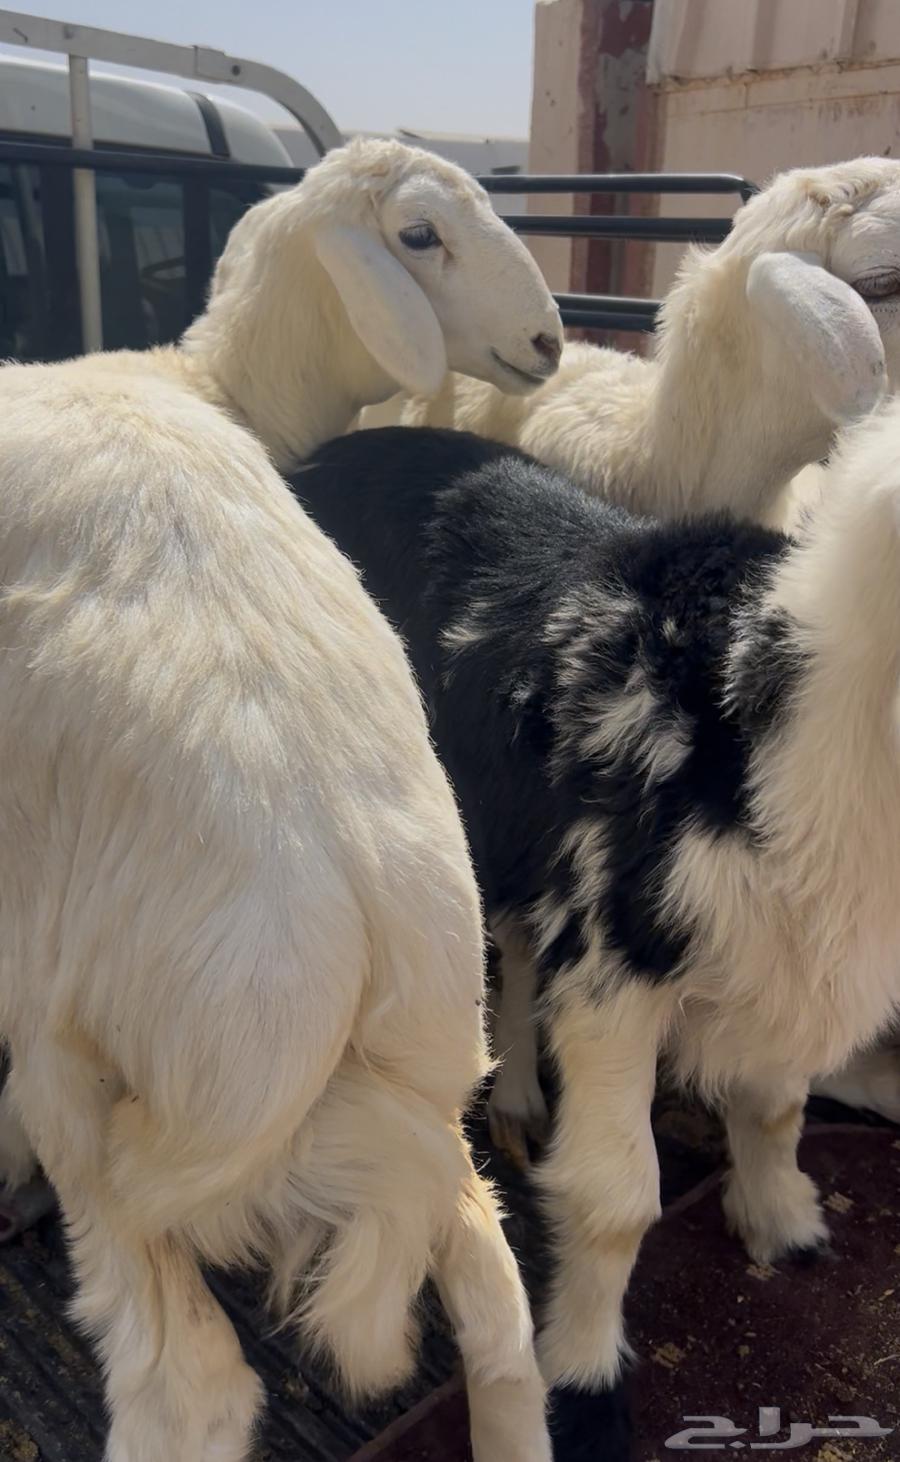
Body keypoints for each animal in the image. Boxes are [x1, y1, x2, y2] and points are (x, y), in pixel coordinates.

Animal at [0, 137, 563, 1462]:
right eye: (420, 235)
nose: (552, 341)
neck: (206, 379)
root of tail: (356, 917)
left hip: (100, 1084)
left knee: (189, 1390)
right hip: (421, 1091)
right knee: (500, 1311)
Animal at [293, 416, 900, 1460]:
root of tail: (321, 455)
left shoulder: (787, 953)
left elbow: (777, 1104)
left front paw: (781, 1221)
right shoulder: (619, 958)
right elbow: (617, 1200)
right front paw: (583, 1385)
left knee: (514, 938)